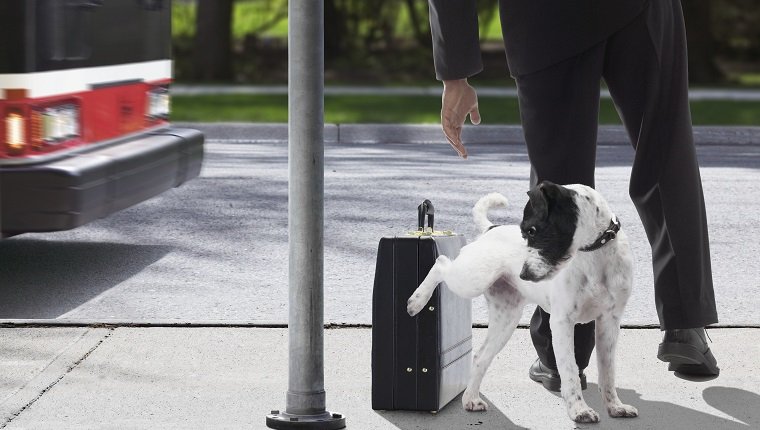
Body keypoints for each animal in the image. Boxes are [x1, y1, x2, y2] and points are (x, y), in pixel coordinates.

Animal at [406, 181, 640, 424]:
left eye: (532, 230)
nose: (523, 274)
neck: (595, 255)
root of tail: (490, 229)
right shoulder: (562, 322)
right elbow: (569, 370)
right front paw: (579, 410)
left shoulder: (609, 323)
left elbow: (608, 372)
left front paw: (615, 406)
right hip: (470, 280)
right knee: (441, 263)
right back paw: (416, 301)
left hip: (506, 320)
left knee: (480, 356)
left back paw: (470, 398)